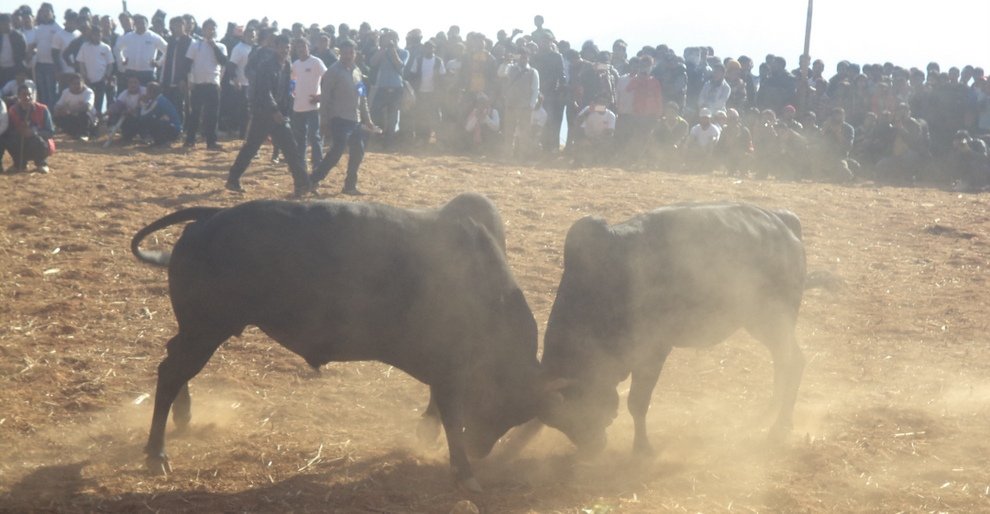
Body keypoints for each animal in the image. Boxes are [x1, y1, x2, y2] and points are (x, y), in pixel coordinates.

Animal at [131, 192, 552, 488]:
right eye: (504, 407)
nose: (481, 449)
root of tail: (210, 216)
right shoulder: (451, 370)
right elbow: (451, 417)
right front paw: (464, 471)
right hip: (205, 330)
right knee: (170, 373)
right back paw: (156, 453)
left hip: (198, 332)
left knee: (174, 364)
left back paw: (183, 417)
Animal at [540, 202, 808, 454]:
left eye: (577, 411)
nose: (591, 449)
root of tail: (783, 224)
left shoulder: (653, 352)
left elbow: (637, 403)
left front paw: (642, 448)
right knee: (782, 361)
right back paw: (770, 411)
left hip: (771, 320)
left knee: (794, 361)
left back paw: (780, 426)